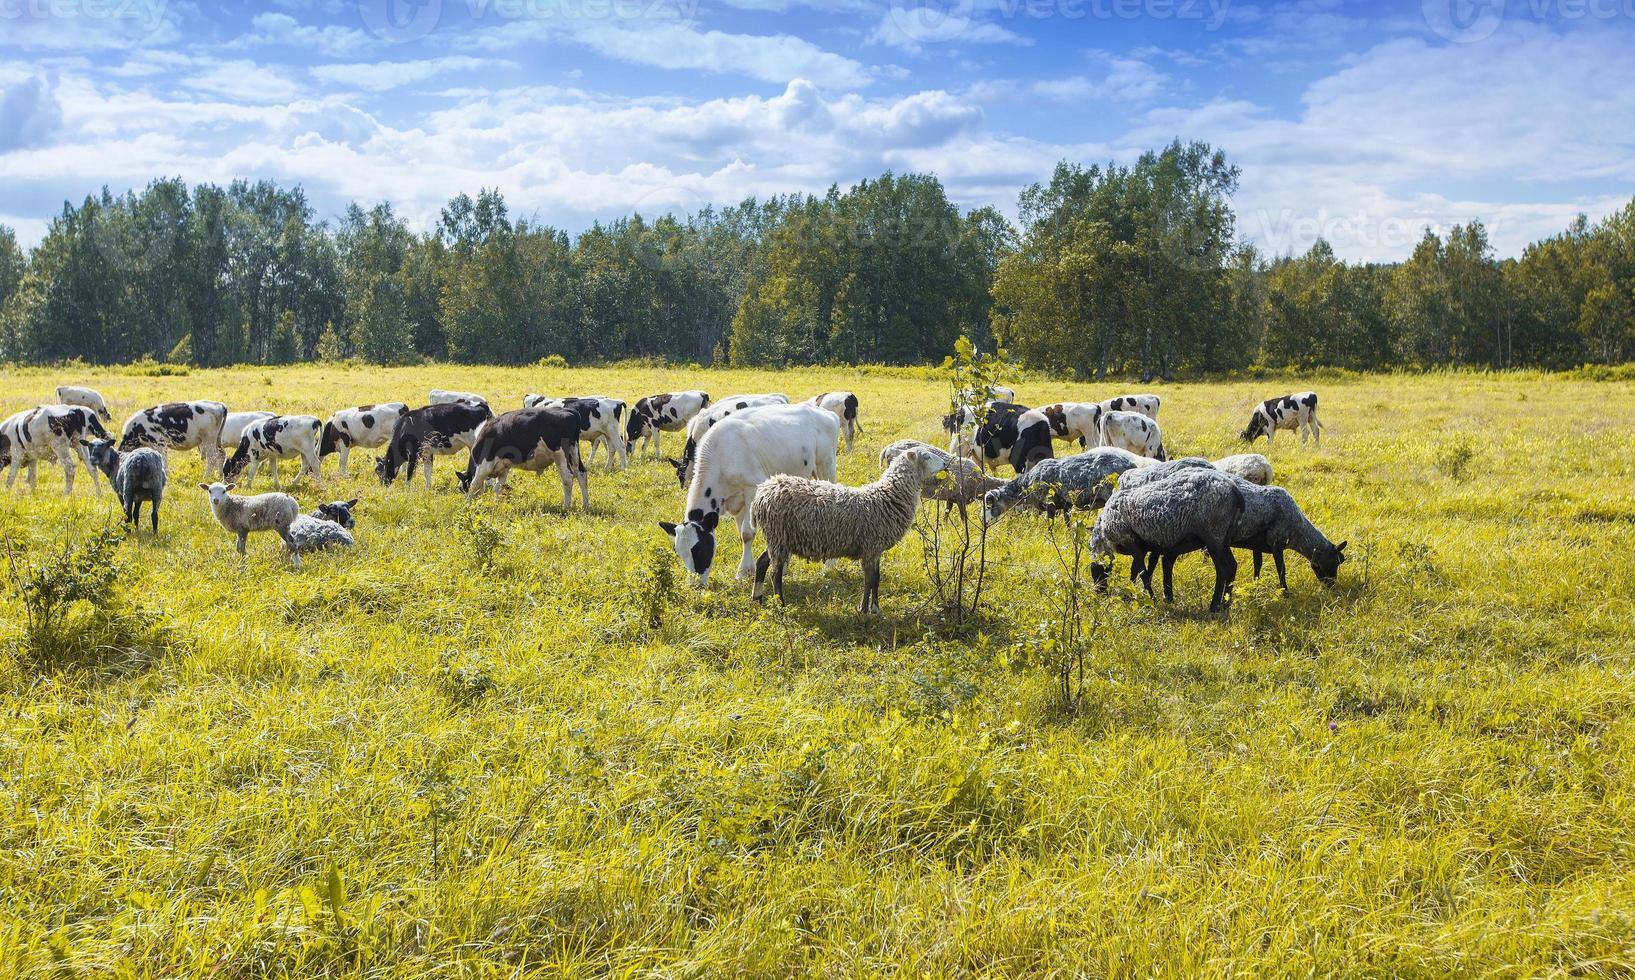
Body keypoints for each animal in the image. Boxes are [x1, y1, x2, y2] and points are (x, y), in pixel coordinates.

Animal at [457, 404, 591, 510]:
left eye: (462, 488)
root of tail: (568, 410)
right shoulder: (503, 468)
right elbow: (497, 487)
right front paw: (496, 504)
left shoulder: (484, 464)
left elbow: (474, 484)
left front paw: (467, 505)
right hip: (574, 453)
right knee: (581, 473)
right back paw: (585, 505)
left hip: (560, 455)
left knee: (568, 478)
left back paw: (566, 506)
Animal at [660, 400, 843, 585]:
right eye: (678, 552)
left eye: (698, 550)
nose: (694, 585)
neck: (722, 455)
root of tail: (826, 413)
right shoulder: (735, 501)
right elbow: (741, 534)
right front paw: (747, 570)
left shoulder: (752, 489)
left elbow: (747, 533)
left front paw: (743, 571)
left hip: (825, 466)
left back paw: (829, 564)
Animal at [752, 448, 948, 615]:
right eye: (927, 456)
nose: (946, 464)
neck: (885, 497)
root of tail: (762, 492)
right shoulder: (870, 546)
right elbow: (869, 579)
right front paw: (864, 609)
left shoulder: (876, 549)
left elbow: (876, 578)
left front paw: (875, 608)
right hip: (777, 535)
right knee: (775, 574)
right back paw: (781, 606)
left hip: (779, 538)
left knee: (762, 562)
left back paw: (757, 599)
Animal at [981, 448, 1151, 530]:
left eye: (989, 504)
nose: (982, 520)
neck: (1027, 485)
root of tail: (1132, 465)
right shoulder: (1066, 505)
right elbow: (1068, 523)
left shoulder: (1049, 503)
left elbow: (1050, 526)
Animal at [1092, 467, 1242, 615]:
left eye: (1096, 573)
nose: (1100, 593)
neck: (1104, 533)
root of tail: (1233, 489)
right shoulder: (1143, 547)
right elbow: (1138, 570)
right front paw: (1131, 595)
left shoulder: (1130, 541)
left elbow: (1142, 572)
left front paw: (1151, 600)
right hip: (1224, 538)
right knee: (1232, 565)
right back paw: (1226, 604)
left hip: (1213, 536)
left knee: (1222, 569)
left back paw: (1214, 606)